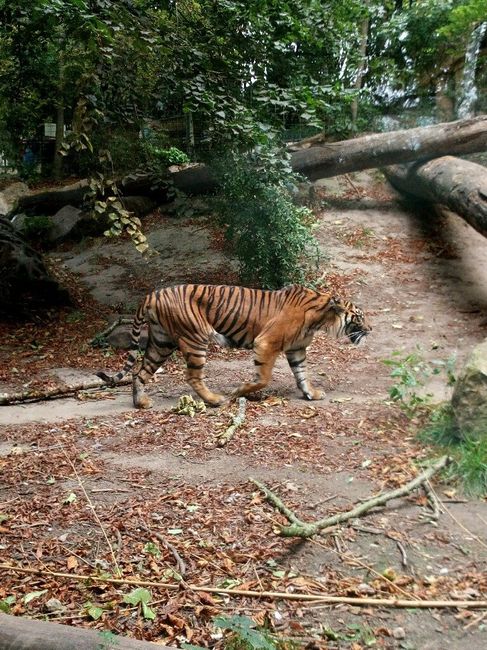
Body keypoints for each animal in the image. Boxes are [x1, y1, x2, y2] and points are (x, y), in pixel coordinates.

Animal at [95, 282, 372, 408]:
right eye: (359, 317)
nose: (370, 330)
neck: (321, 318)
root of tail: (152, 294)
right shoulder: (266, 343)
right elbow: (263, 377)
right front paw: (240, 391)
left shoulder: (297, 350)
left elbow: (303, 374)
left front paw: (311, 394)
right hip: (195, 337)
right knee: (192, 376)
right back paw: (215, 399)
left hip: (162, 343)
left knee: (140, 372)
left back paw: (140, 402)